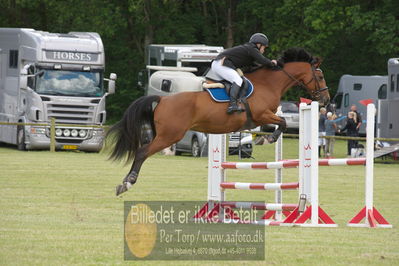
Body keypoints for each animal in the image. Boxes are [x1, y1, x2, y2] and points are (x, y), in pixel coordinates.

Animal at [108, 47, 330, 195]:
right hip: (170, 135)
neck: (268, 83)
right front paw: (268, 139)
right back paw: (126, 183)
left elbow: (278, 123)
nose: (326, 100)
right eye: (320, 76)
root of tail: (163, 99)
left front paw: (261, 139)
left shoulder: (262, 118)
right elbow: (282, 122)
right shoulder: (262, 114)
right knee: (142, 152)